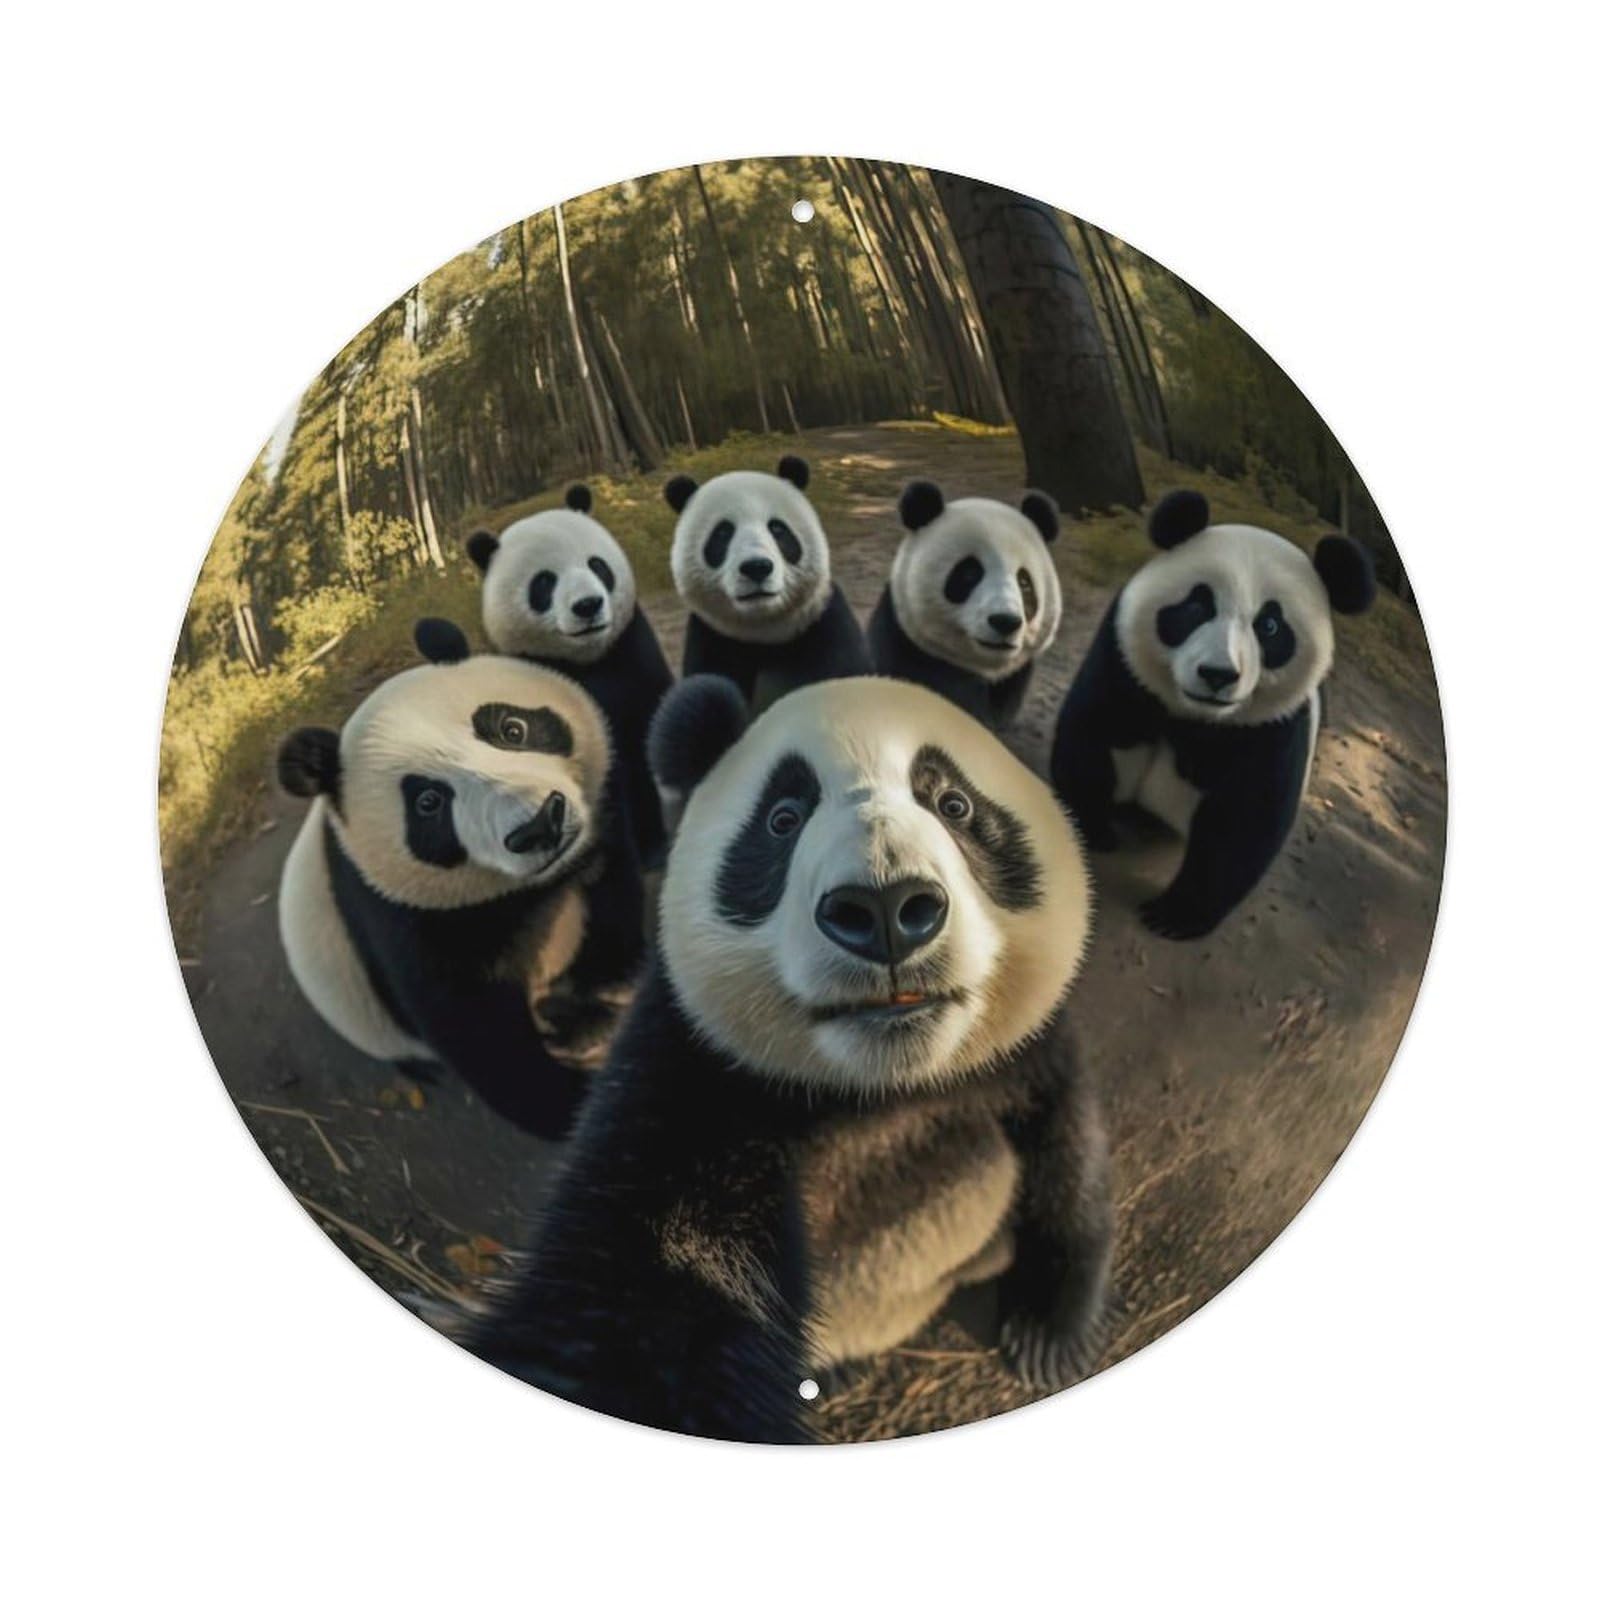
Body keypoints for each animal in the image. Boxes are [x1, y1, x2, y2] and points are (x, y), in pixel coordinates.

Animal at [275, 619, 646, 1140]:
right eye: (428, 803)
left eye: (513, 729)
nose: (539, 826)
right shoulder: (396, 911)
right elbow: (473, 1028)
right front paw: (569, 1107)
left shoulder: (597, 827)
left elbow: (610, 891)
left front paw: (595, 1001)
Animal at [458, 674, 1112, 1442]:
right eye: (782, 818)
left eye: (954, 804)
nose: (886, 911)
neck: (883, 1087)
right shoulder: (693, 1080)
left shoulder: (1025, 1051)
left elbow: (1066, 1146)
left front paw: (1047, 1335)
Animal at [467, 485, 674, 865]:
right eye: (544, 583)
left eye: (597, 565)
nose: (588, 605)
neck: (587, 660)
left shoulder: (632, 653)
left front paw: (655, 846)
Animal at [665, 454, 870, 713]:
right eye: (722, 533)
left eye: (777, 528)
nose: (757, 567)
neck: (765, 632)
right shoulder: (711, 640)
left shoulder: (827, 626)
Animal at [1049, 488, 1377, 940]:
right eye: (1197, 607)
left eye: (1270, 627)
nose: (1218, 674)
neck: (1194, 717)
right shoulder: (1123, 663)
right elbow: (1093, 733)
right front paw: (1091, 829)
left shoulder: (1277, 724)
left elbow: (1245, 819)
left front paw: (1173, 917)